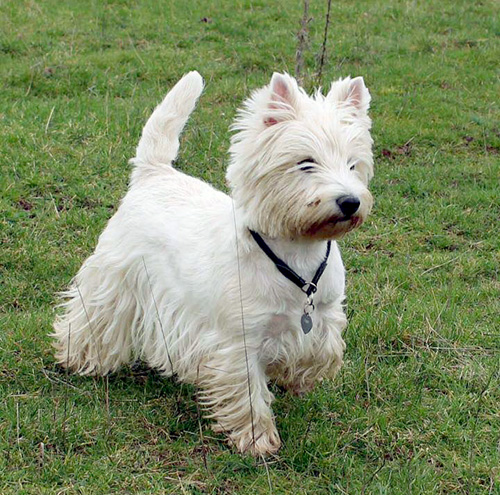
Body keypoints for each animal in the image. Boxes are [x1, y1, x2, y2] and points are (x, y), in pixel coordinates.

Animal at [53, 70, 372, 458]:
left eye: (353, 164)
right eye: (306, 163)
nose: (350, 202)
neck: (296, 257)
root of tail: (154, 173)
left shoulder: (325, 311)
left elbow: (319, 352)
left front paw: (294, 376)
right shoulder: (238, 339)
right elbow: (247, 391)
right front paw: (258, 440)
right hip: (116, 280)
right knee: (93, 318)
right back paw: (79, 358)